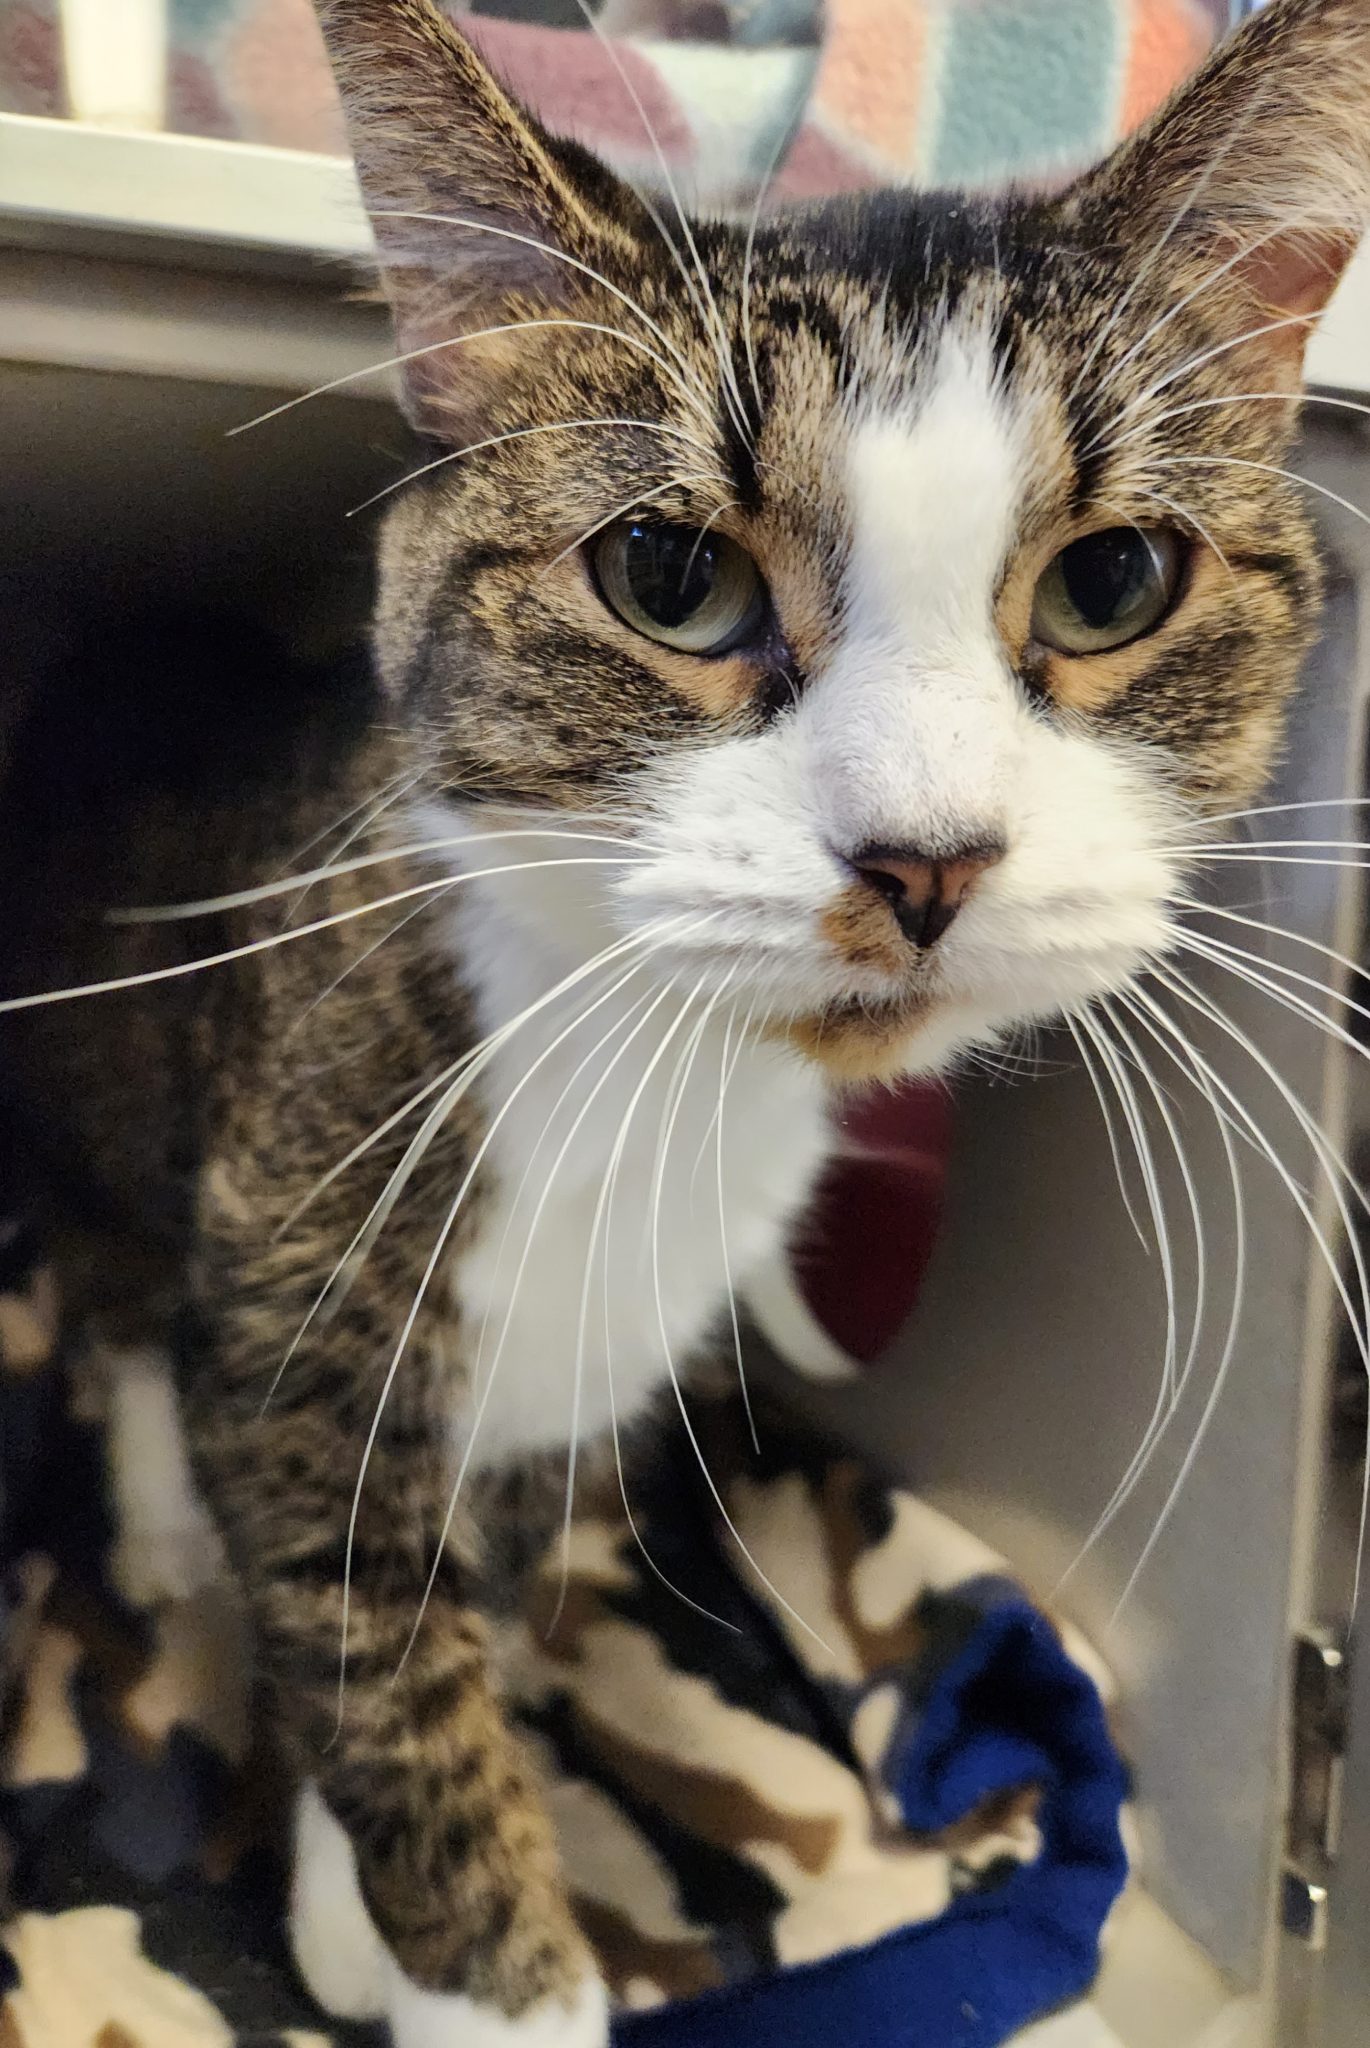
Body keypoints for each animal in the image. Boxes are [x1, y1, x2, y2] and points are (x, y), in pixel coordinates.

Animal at [2, 0, 1368, 2041]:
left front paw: (358, 1889)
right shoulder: (311, 1226)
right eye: (670, 576)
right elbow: (359, 1624)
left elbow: (436, 1591)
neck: (656, 1072)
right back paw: (161, 1518)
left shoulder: (546, 1397)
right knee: (119, 1295)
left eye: (1113, 579)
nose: (926, 856)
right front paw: (479, 1973)